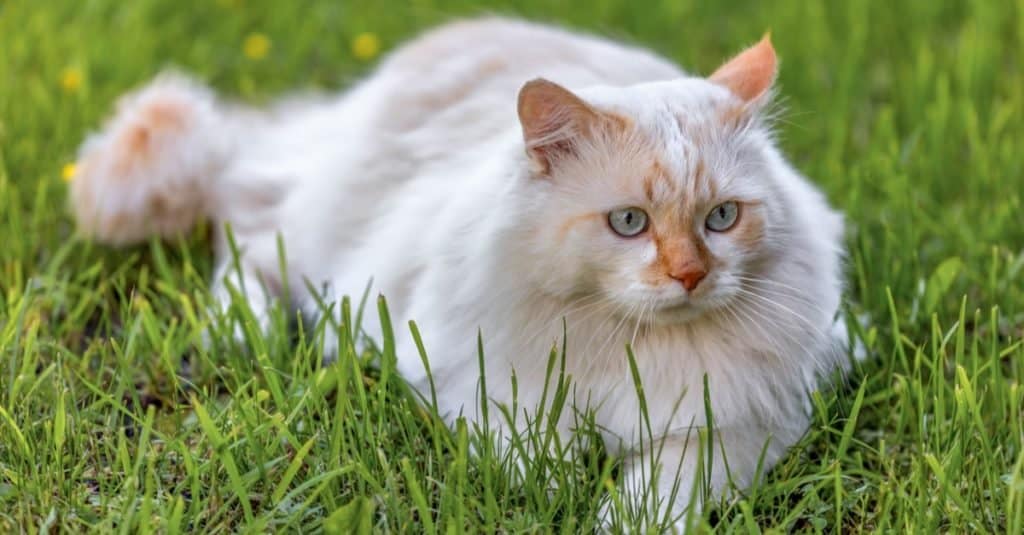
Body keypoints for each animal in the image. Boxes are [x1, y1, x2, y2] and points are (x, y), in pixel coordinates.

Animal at [68, 17, 856, 528]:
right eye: (629, 223)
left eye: (721, 217)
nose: (690, 276)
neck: (635, 345)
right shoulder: (478, 382)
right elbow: (534, 455)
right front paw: (557, 492)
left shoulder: (742, 428)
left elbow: (659, 491)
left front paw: (611, 515)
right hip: (316, 237)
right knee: (244, 240)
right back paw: (243, 331)